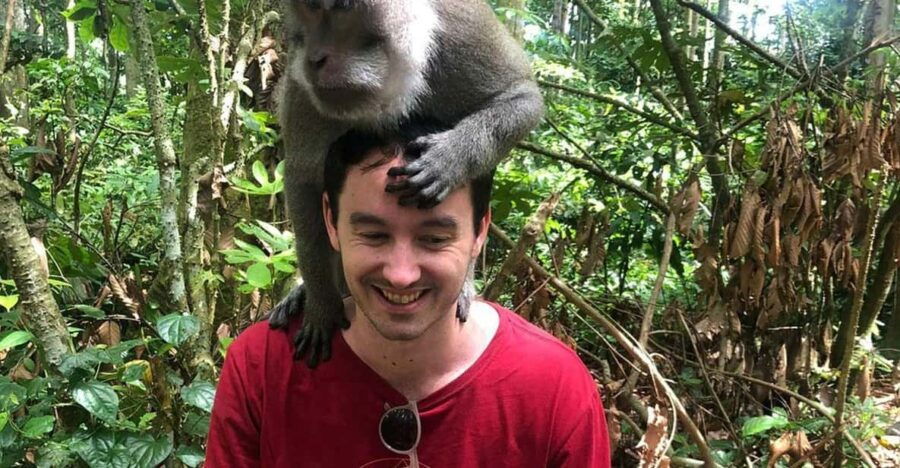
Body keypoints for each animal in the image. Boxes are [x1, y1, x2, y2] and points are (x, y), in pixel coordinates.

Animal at [267, 0, 544, 367]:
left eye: (342, 9)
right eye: (310, 10)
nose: (315, 59)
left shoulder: (462, 31)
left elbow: (521, 98)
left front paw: (449, 158)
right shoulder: (304, 91)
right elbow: (302, 180)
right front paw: (321, 303)